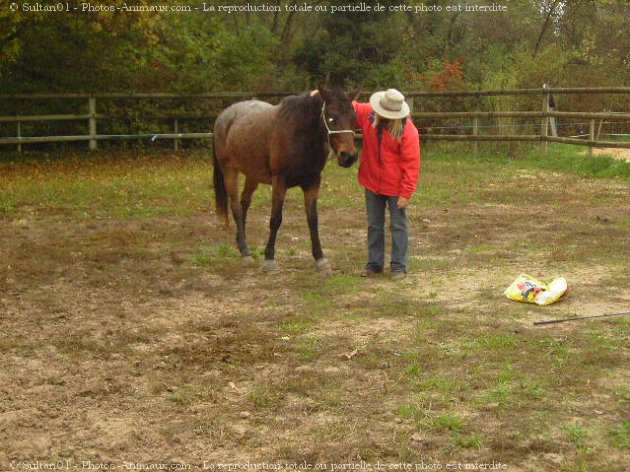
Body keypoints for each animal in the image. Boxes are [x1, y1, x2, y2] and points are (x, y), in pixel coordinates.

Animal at [214, 85, 360, 272]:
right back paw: (245, 252)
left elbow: (313, 220)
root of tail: (223, 116)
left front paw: (320, 258)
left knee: (244, 203)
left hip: (252, 175)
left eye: (354, 118)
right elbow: (276, 219)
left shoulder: (313, 182)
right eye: (331, 117)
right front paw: (269, 258)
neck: (299, 134)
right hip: (229, 170)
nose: (348, 156)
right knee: (236, 207)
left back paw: (241, 243)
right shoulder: (279, 182)